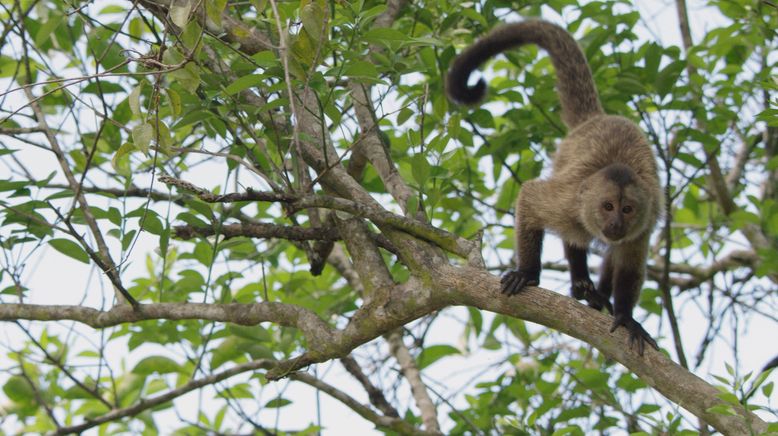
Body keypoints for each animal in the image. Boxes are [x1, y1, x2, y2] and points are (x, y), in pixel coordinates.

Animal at [446, 19, 656, 354]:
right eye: (607, 206)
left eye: (627, 209)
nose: (615, 224)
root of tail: (596, 118)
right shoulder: (570, 201)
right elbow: (530, 196)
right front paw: (528, 273)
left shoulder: (644, 221)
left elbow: (630, 266)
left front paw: (625, 317)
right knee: (574, 234)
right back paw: (581, 280)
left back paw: (595, 293)